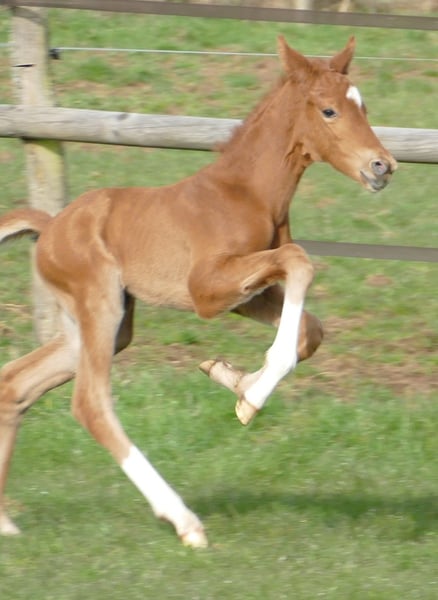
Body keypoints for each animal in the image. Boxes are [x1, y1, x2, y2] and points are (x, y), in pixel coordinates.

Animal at [0, 36, 396, 548]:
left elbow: (310, 328)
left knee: (14, 382)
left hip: (103, 324)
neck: (245, 193)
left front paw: (234, 381)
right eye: (329, 110)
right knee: (90, 402)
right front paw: (254, 395)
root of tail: (49, 227)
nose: (382, 166)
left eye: (362, 105)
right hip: (99, 306)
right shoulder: (206, 290)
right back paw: (184, 521)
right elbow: (299, 261)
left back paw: (4, 520)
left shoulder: (247, 295)